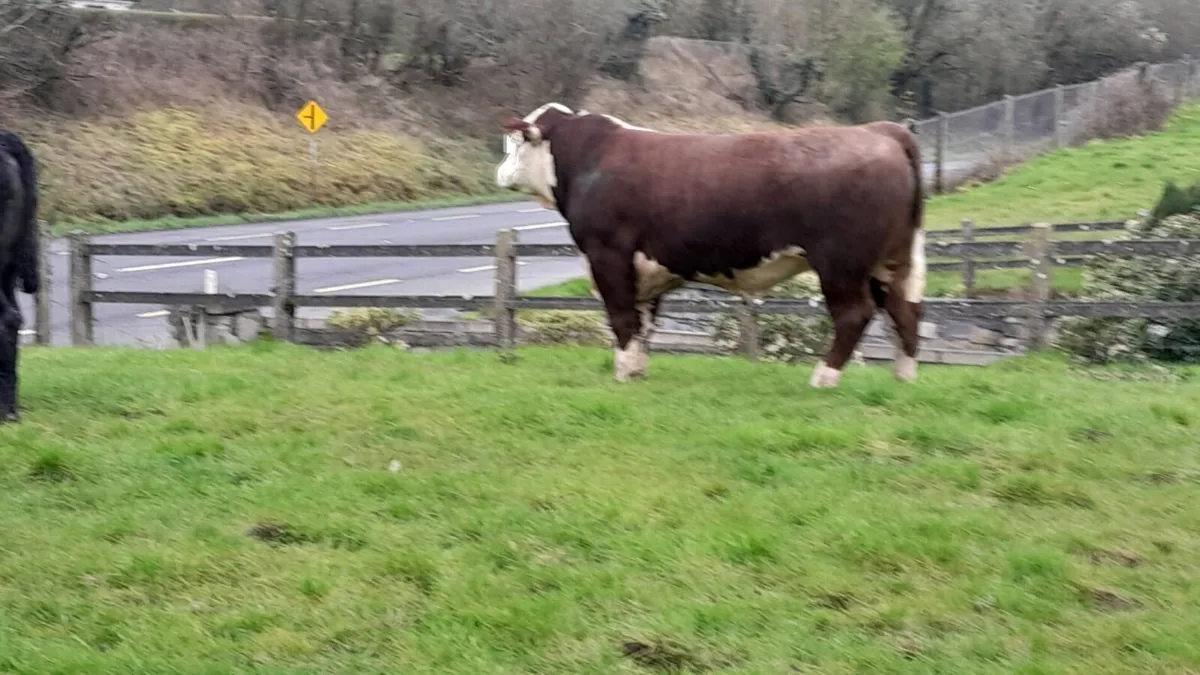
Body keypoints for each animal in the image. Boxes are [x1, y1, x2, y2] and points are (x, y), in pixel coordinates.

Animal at [494, 103, 926, 388]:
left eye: (513, 143)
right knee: (904, 310)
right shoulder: (645, 268)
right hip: (890, 261)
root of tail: (878, 130)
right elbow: (643, 321)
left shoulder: (607, 254)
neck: (588, 161)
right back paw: (903, 378)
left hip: (840, 263)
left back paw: (824, 377)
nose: (499, 172)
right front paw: (637, 370)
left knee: (855, 315)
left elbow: (621, 317)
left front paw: (622, 372)